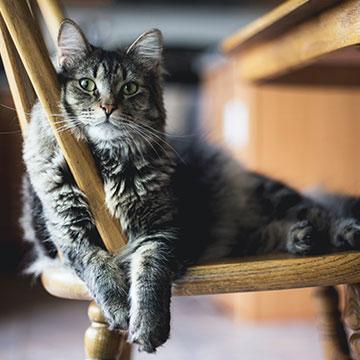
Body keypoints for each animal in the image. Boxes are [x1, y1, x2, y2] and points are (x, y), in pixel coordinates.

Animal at [20, 18, 360, 352]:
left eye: (129, 88)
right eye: (87, 84)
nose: (107, 107)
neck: (106, 163)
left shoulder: (162, 231)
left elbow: (150, 275)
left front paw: (148, 325)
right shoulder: (69, 234)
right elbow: (97, 268)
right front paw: (119, 310)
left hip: (273, 196)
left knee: (320, 211)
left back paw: (340, 232)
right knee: (272, 230)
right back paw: (300, 237)